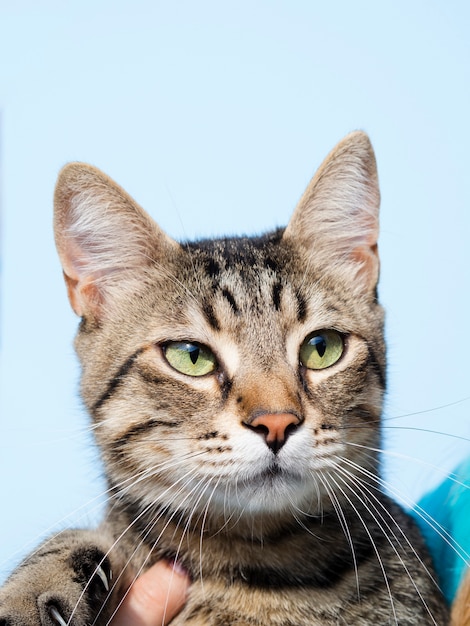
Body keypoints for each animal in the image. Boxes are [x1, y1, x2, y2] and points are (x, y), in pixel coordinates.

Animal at [0, 130, 450, 620]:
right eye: (191, 356)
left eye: (322, 348)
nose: (276, 423)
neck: (258, 564)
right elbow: (75, 541)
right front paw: (30, 590)